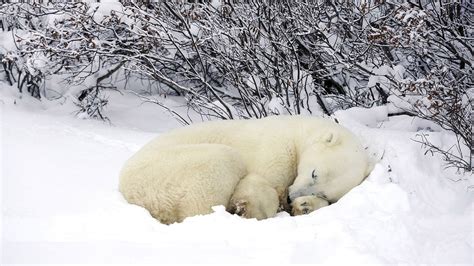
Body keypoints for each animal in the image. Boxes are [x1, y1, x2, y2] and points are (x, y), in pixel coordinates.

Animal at [117, 115, 370, 223]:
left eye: (324, 192)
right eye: (314, 172)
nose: (291, 197)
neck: (298, 132)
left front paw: (305, 206)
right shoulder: (276, 148)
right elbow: (260, 182)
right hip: (169, 170)